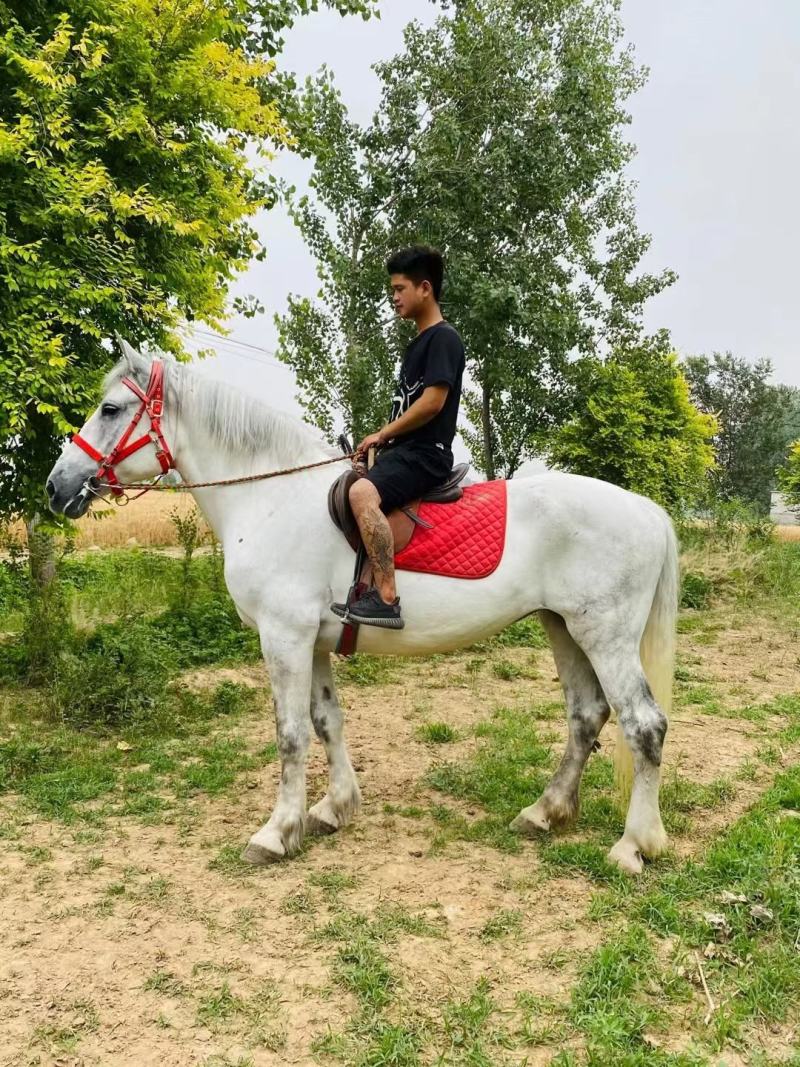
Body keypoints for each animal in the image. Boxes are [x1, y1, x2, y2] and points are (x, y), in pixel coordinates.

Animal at [46, 343, 679, 876]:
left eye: (109, 408)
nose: (57, 486)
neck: (271, 498)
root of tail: (646, 510)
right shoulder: (312, 641)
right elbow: (327, 720)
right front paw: (333, 808)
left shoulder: (283, 638)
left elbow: (290, 734)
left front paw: (276, 832)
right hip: (563, 628)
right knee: (586, 716)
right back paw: (545, 812)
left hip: (605, 636)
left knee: (643, 725)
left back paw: (634, 845)